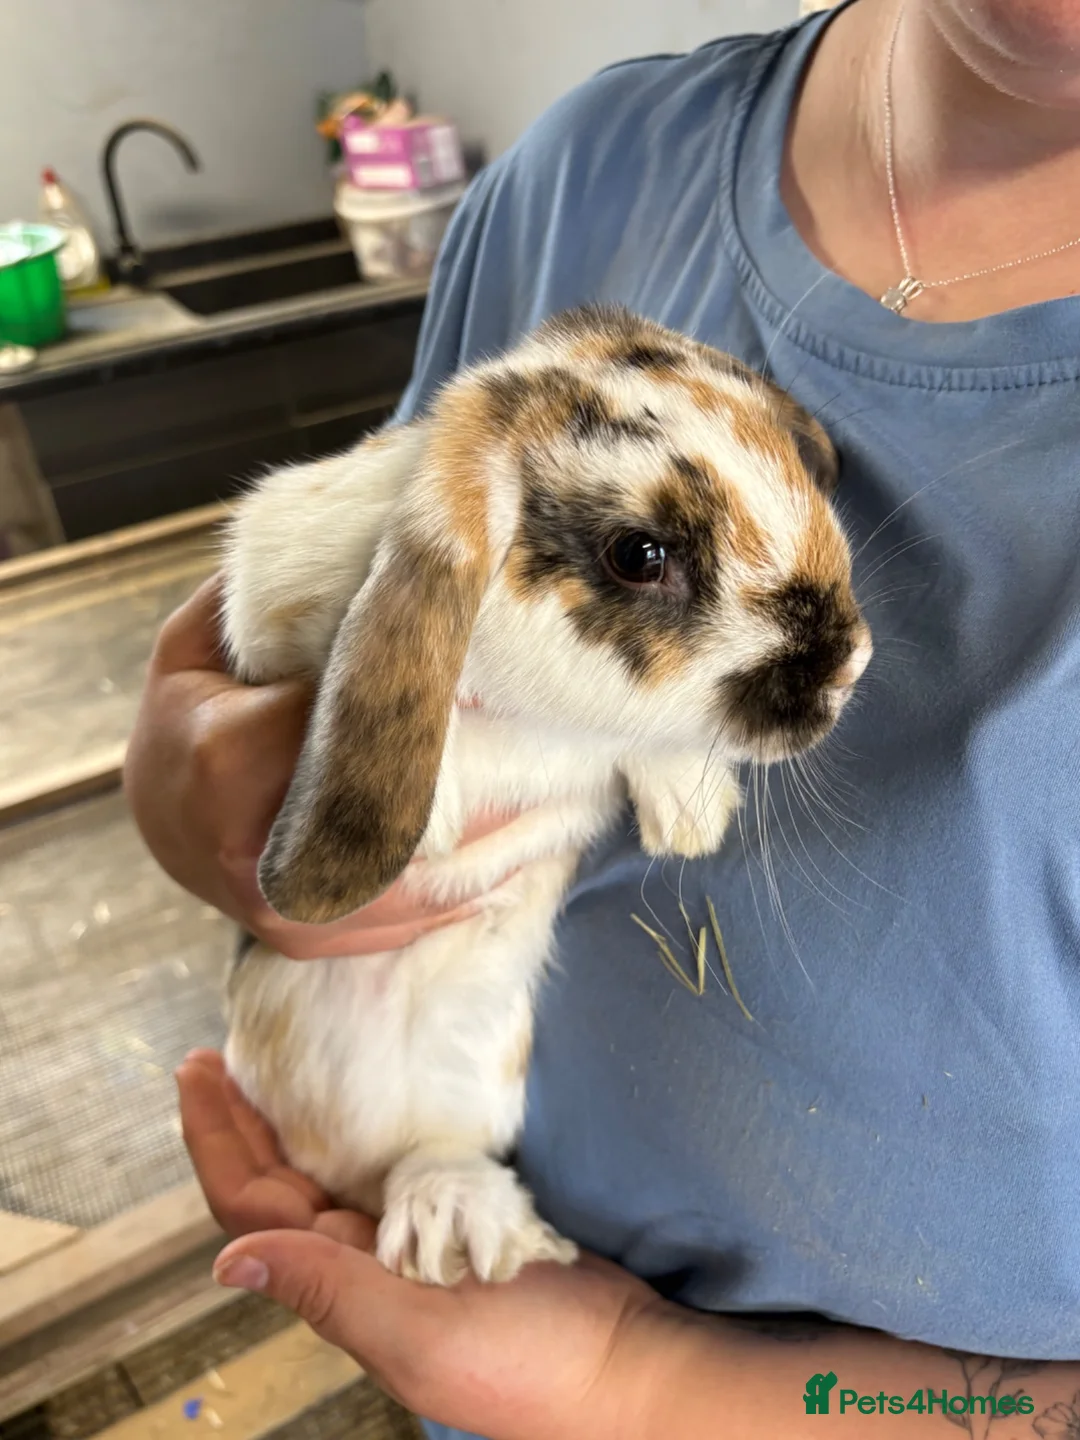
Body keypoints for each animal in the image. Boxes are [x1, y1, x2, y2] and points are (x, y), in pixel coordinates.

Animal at [220, 304, 872, 1287]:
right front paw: (436, 820)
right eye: (641, 554)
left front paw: (691, 818)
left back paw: (465, 1228)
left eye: (788, 464)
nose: (847, 665)